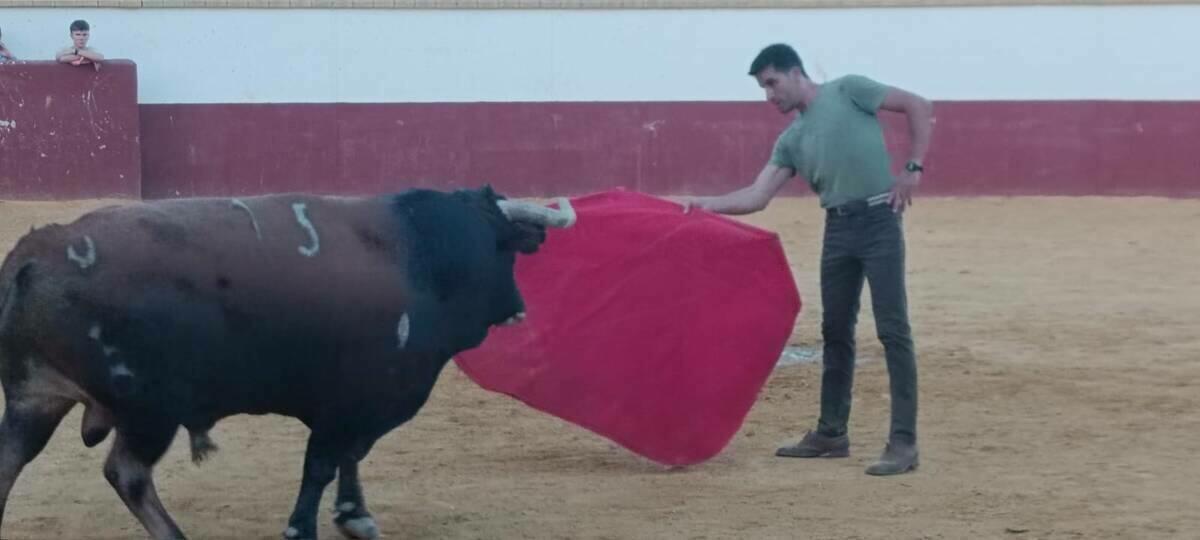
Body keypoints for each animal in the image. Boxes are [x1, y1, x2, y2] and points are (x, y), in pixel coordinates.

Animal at [0, 183, 576, 537]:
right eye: (505, 248)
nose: (518, 308)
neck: (423, 256)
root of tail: (37, 251)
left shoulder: (359, 406)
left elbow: (347, 458)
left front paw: (354, 516)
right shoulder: (351, 401)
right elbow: (322, 463)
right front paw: (304, 525)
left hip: (34, 398)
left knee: (9, 462)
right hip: (147, 410)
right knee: (127, 474)